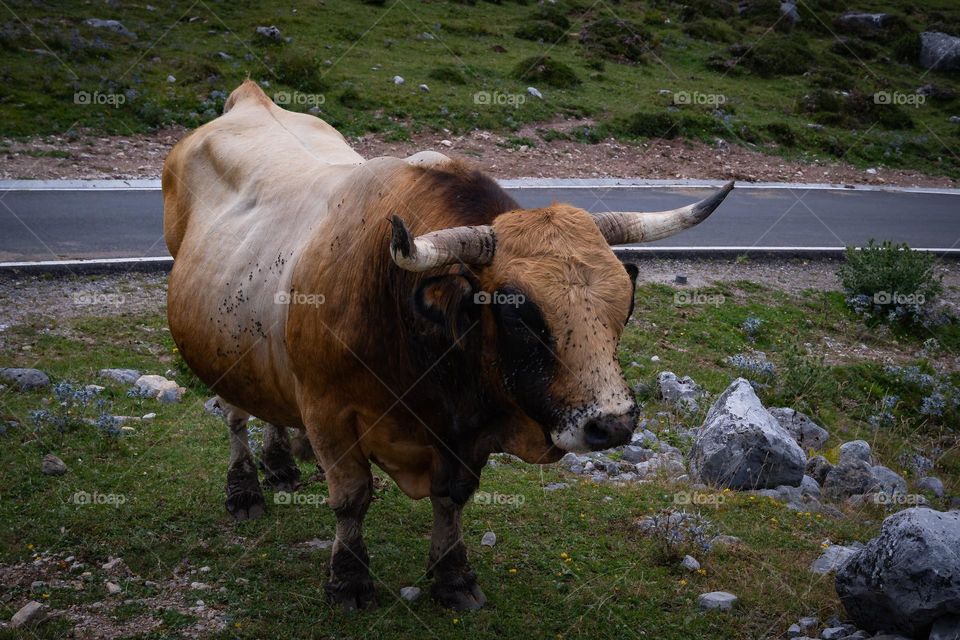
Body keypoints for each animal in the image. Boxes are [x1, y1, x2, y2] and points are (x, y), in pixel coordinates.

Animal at [163, 80, 733, 611]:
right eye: (518, 311)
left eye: (624, 303)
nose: (612, 424)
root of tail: (249, 99)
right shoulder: (329, 411)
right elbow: (351, 499)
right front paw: (348, 580)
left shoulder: (467, 435)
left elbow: (452, 498)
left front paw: (453, 576)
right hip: (217, 347)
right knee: (235, 414)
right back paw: (244, 489)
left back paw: (282, 460)